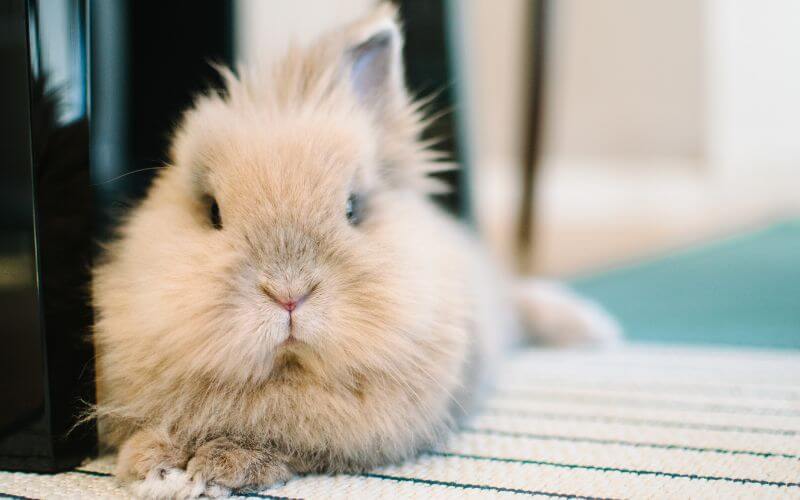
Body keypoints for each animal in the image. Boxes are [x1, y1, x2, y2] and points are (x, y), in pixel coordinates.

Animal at [92, 4, 620, 498]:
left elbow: (285, 446)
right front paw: (150, 463)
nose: (288, 295)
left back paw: (591, 328)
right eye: (212, 211)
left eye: (352, 208)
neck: (286, 374)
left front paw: (216, 466)